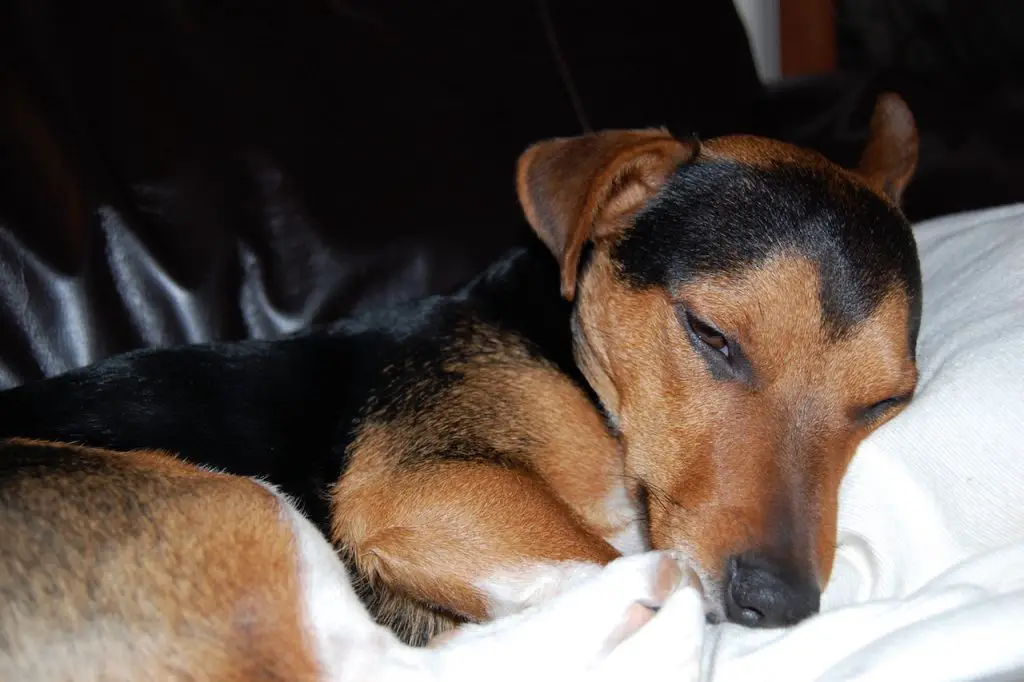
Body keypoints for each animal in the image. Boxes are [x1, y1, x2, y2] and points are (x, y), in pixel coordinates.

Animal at [0, 91, 925, 667]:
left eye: (885, 402)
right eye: (711, 335)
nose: (779, 603)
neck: (574, 372)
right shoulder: (424, 484)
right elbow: (578, 547)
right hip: (234, 499)